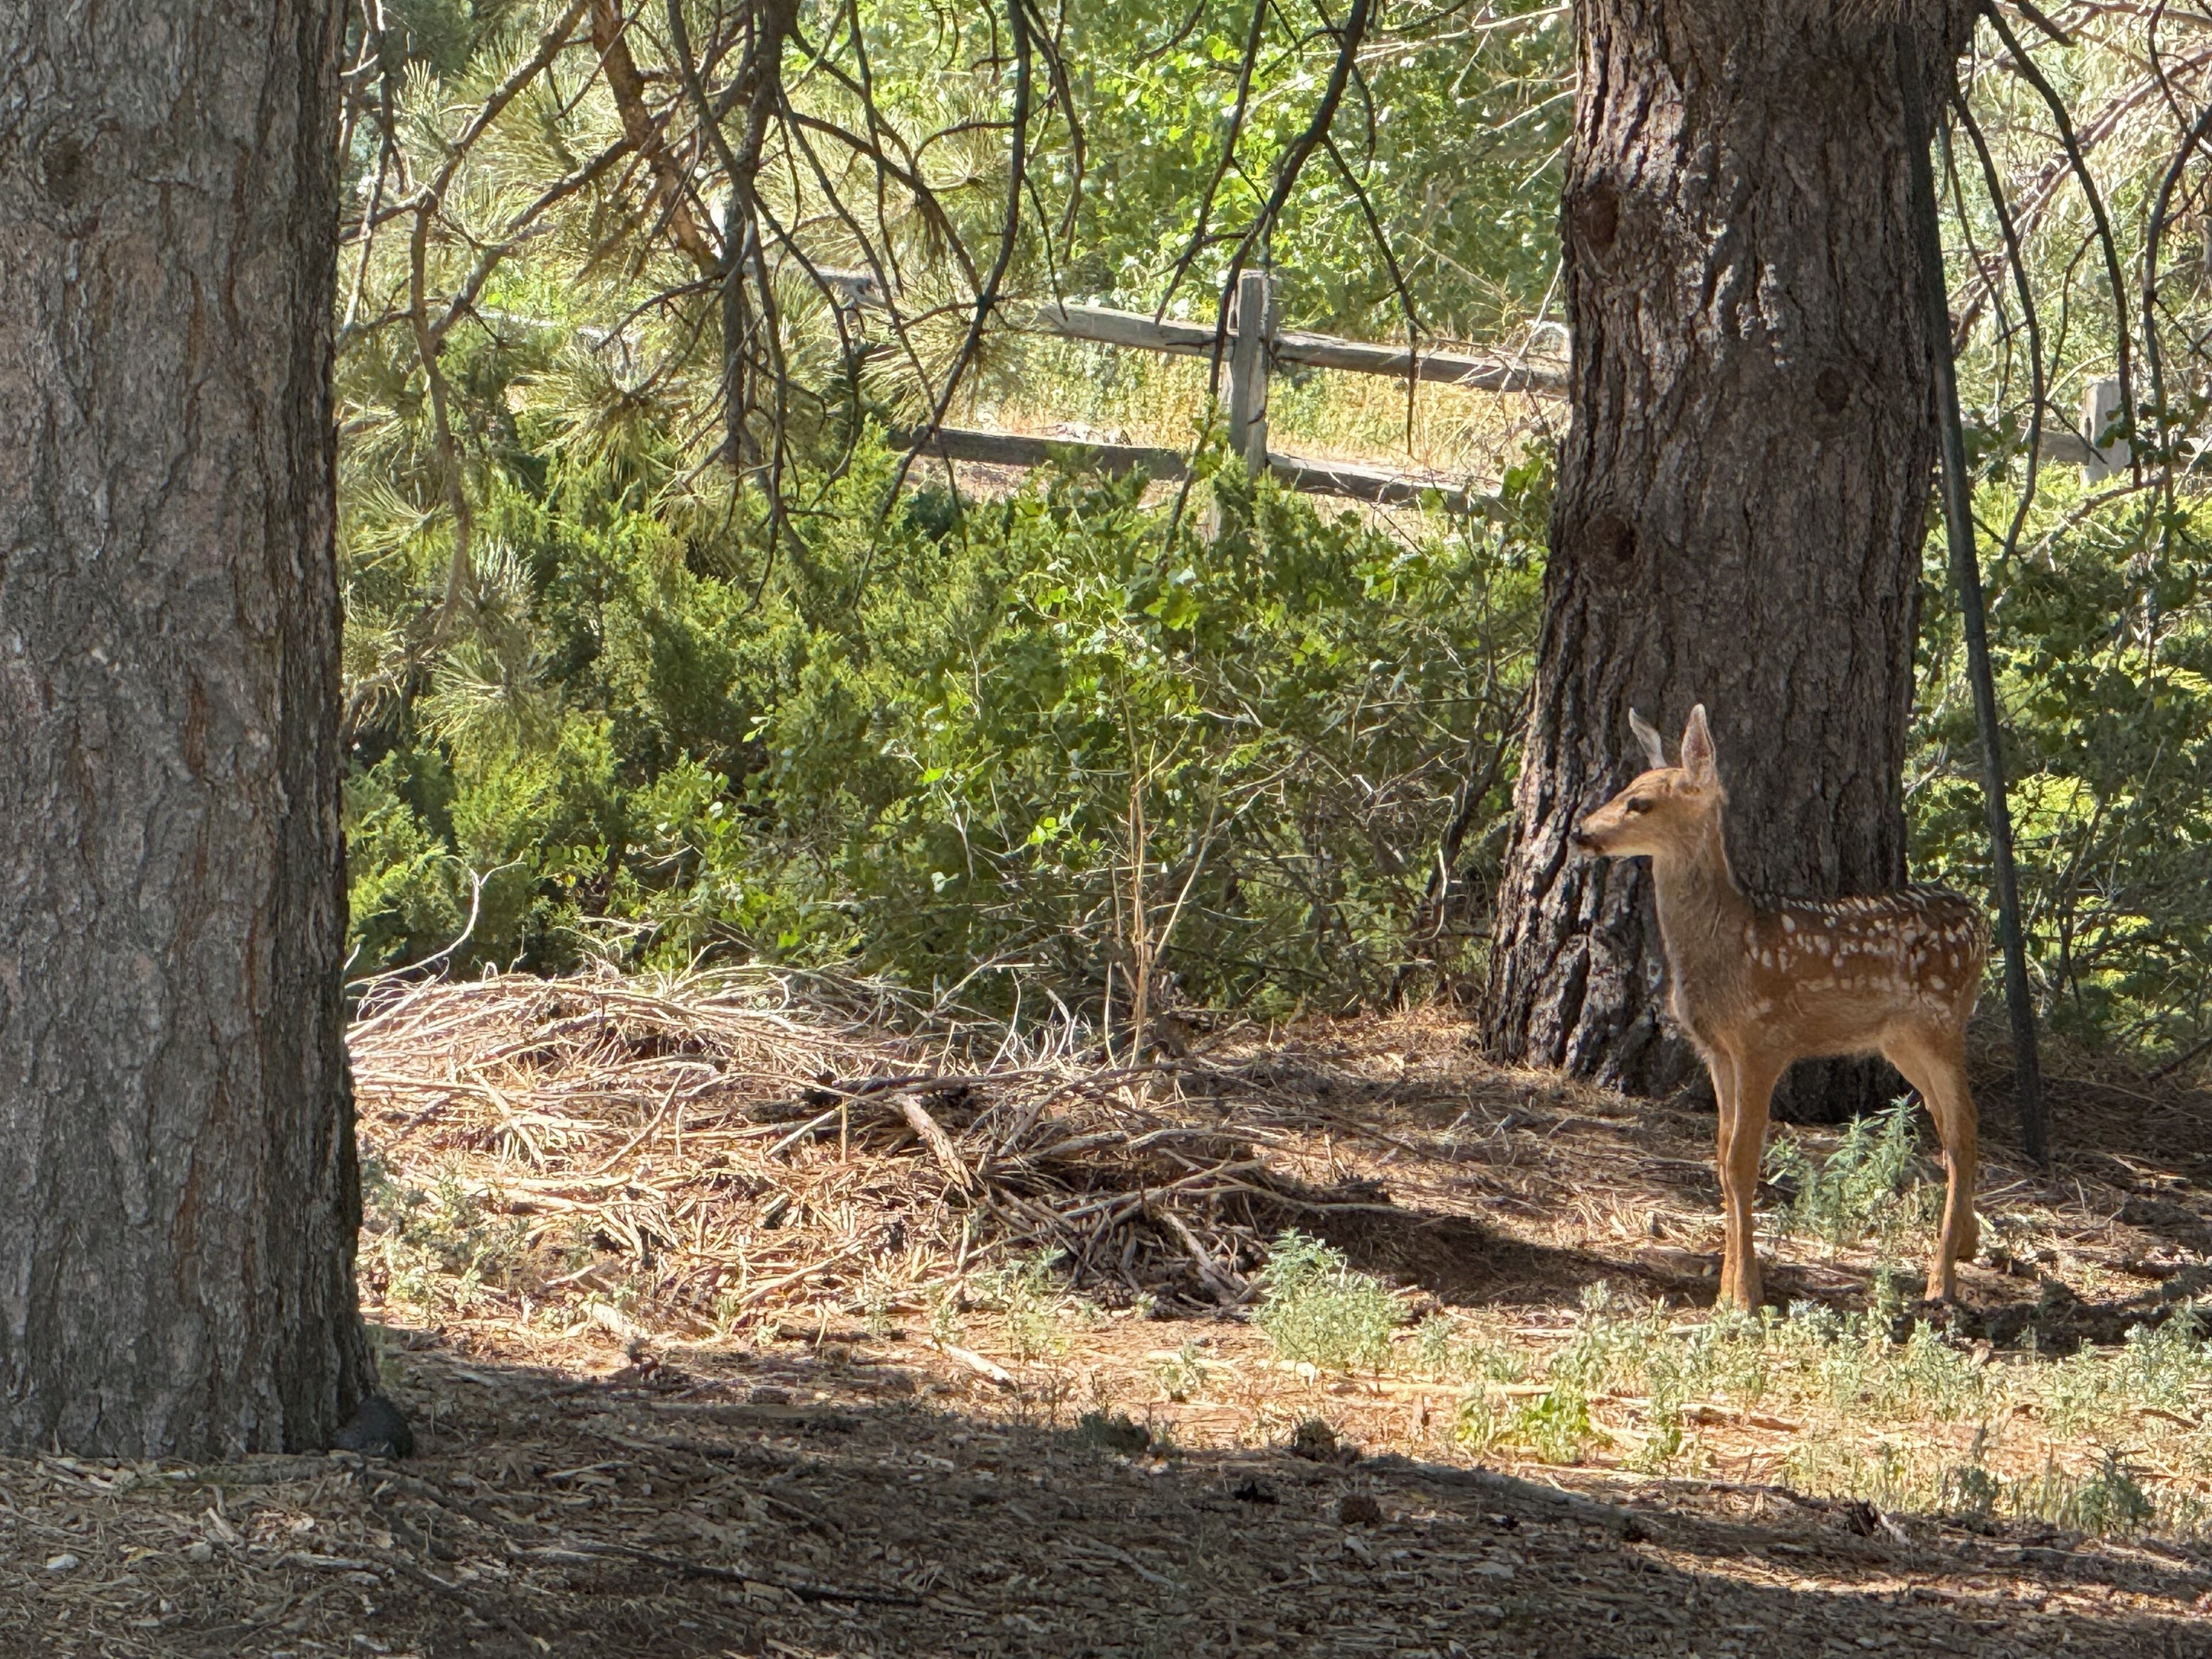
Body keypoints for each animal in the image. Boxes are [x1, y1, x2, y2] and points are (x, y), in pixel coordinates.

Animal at [1571, 705, 1985, 1311]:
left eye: (1639, 802)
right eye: (1623, 788)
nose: (1580, 832)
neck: (1730, 943)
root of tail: (1980, 919)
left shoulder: (1762, 1041)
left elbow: (1744, 1162)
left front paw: (1745, 1296)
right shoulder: (1716, 1051)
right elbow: (1721, 1160)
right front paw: (1725, 1289)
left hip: (1943, 1022)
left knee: (1960, 1129)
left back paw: (1941, 1281)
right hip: (1901, 1040)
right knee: (1951, 1120)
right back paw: (1967, 1246)